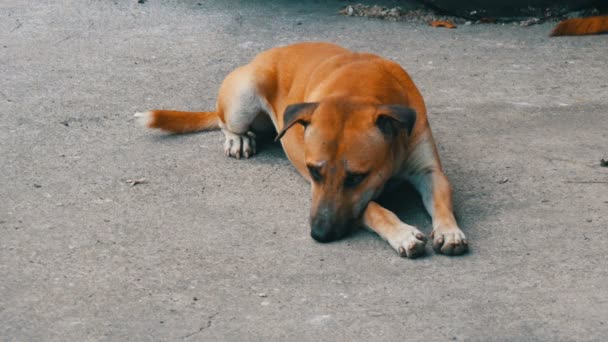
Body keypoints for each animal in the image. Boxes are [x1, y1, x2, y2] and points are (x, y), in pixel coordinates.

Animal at [135, 42, 468, 256]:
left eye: (356, 178)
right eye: (313, 171)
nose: (318, 234)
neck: (362, 90)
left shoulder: (429, 171)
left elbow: (441, 198)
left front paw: (449, 229)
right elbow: (374, 208)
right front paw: (402, 233)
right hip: (244, 95)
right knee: (222, 121)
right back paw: (236, 138)